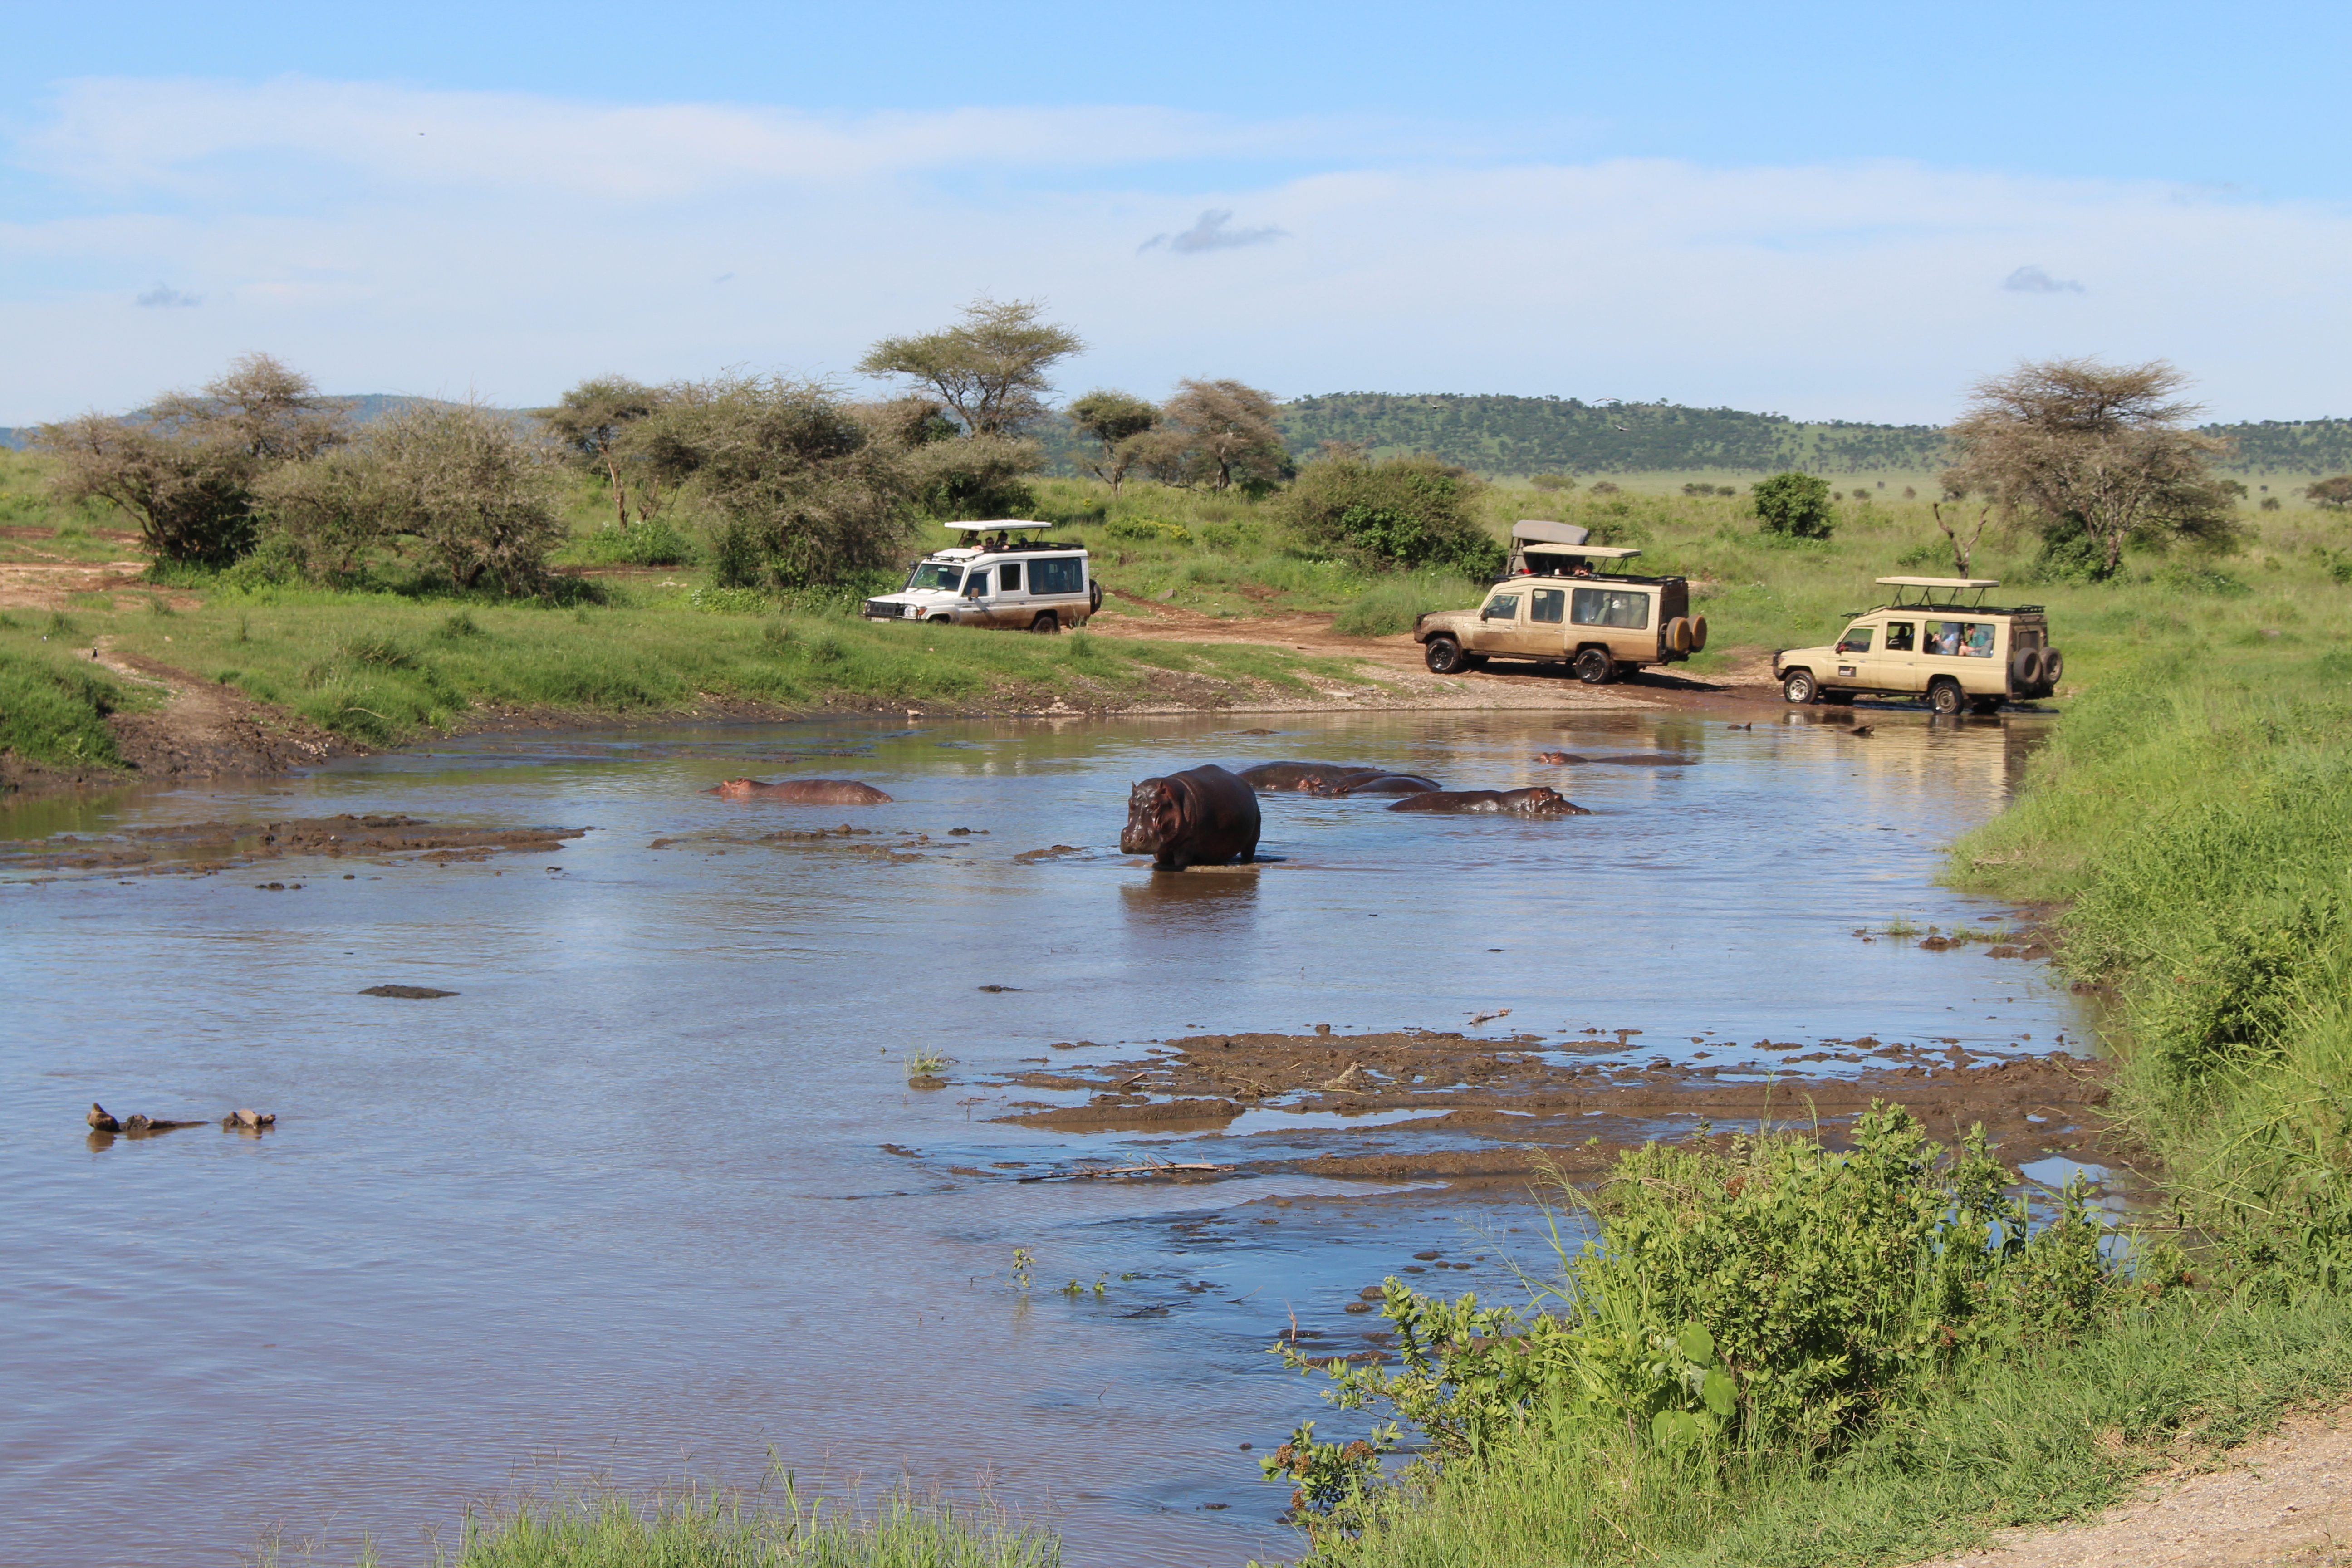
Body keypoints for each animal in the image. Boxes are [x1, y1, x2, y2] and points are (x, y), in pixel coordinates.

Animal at [1121, 764, 1262, 869]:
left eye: (1156, 805)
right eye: (1130, 802)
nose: (1134, 838)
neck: (1173, 797)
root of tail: (1247, 785)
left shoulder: (1188, 843)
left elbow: (1181, 862)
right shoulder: (1162, 849)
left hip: (1252, 841)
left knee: (1248, 853)